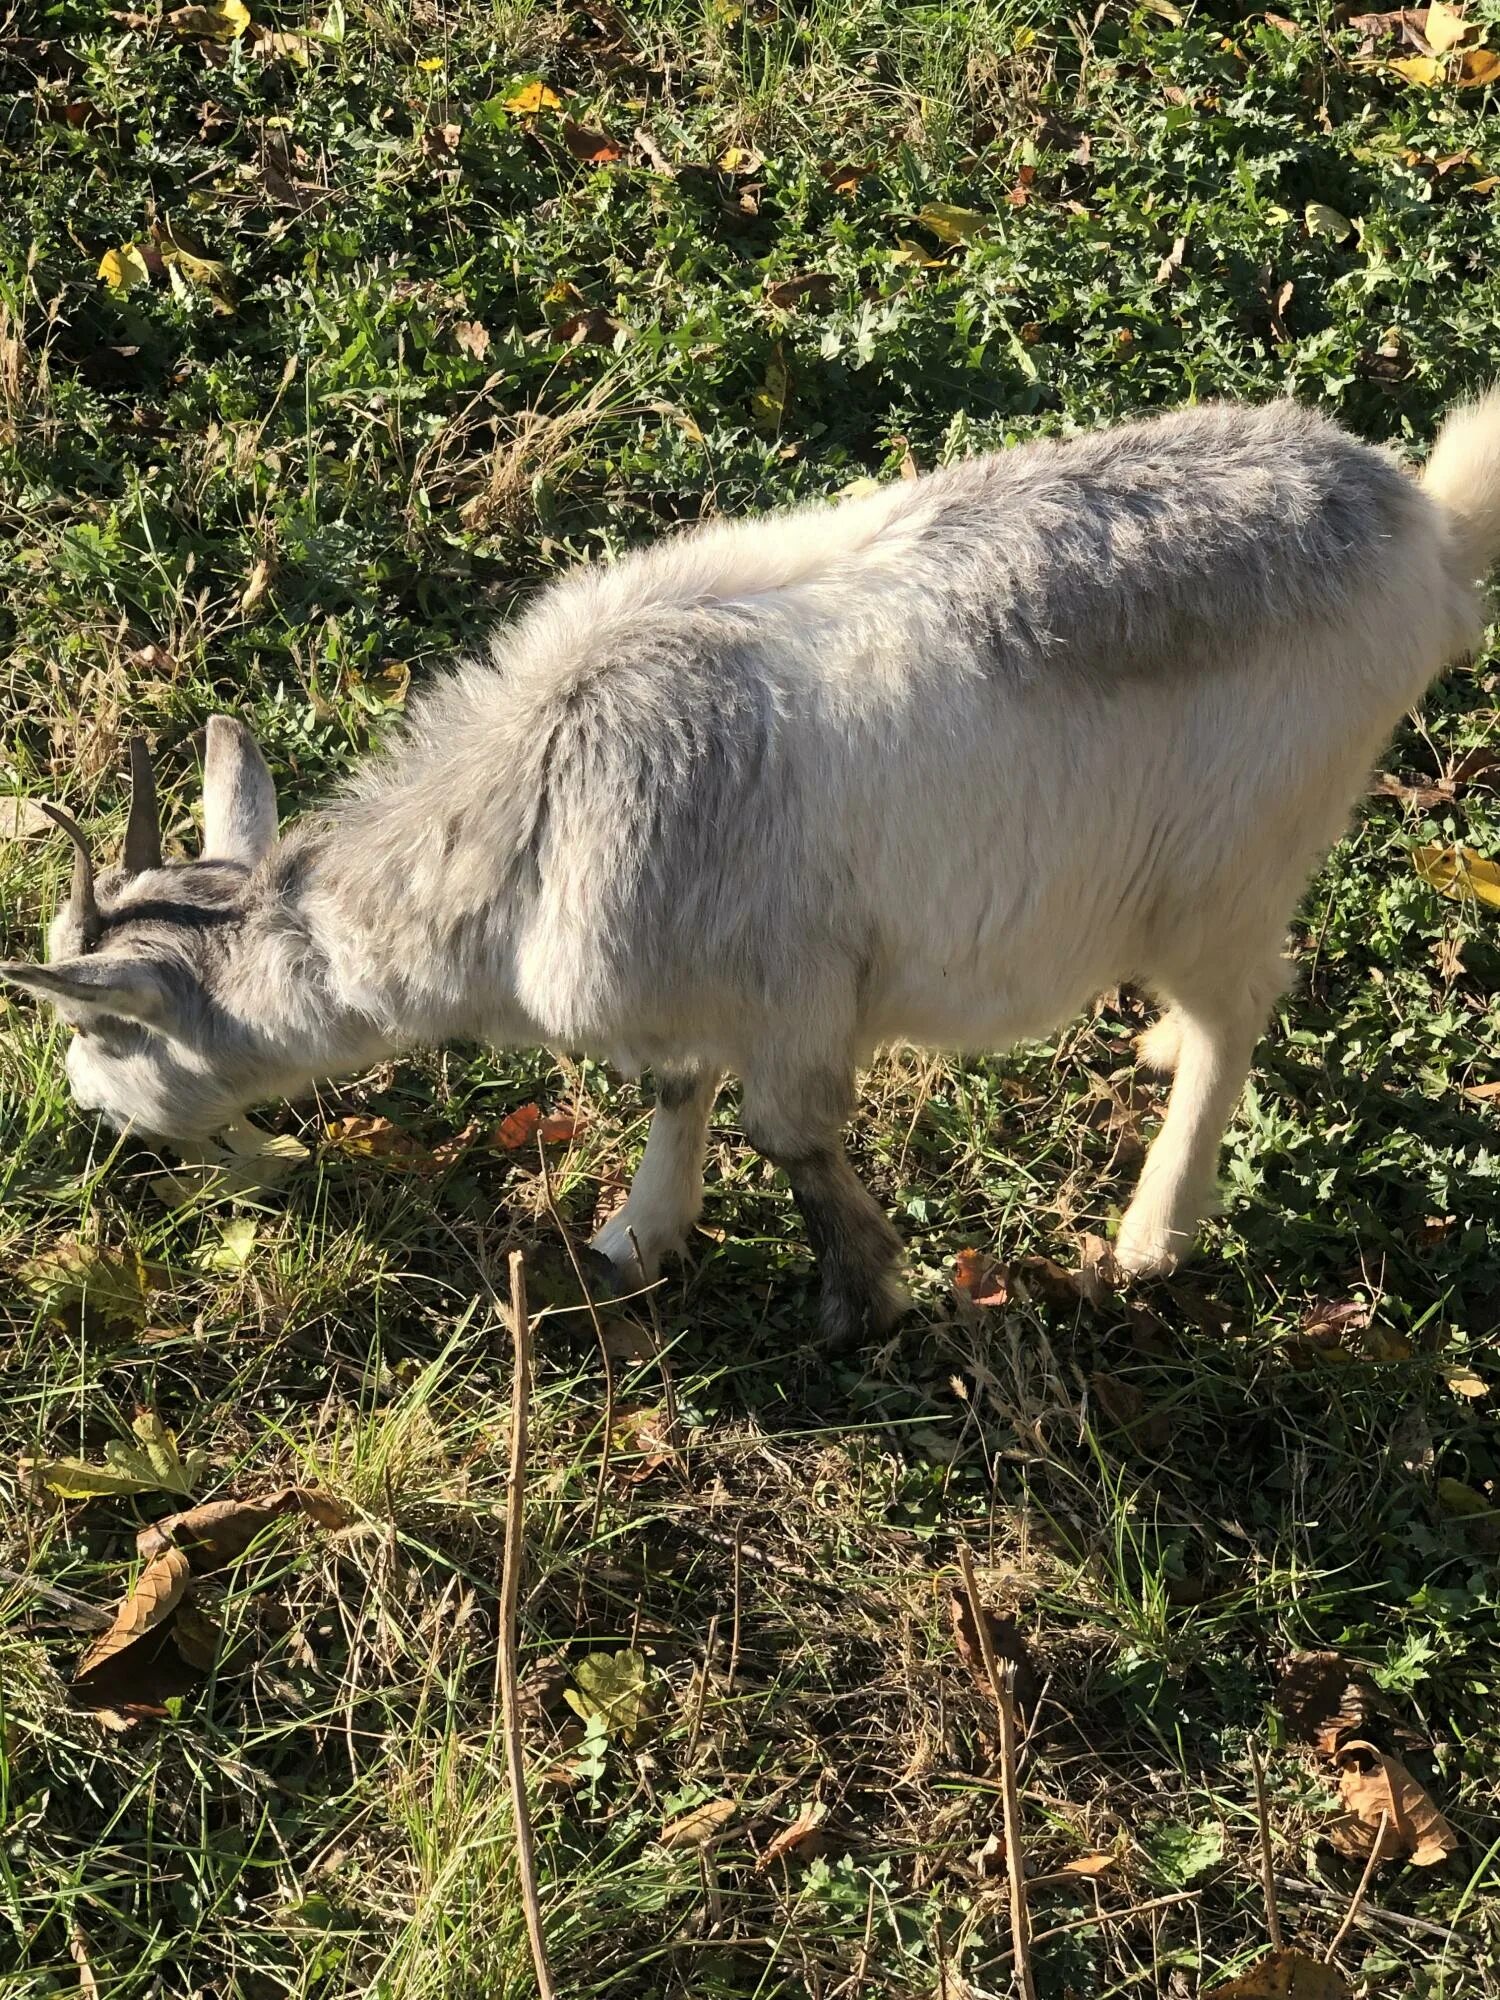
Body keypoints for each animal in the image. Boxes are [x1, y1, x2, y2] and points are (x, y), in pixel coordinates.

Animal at [2, 394, 1500, 1344]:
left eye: (99, 1027)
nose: (86, 1111)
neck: (533, 810)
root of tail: (1424, 529)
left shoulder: (797, 997)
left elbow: (791, 1134)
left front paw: (860, 1303)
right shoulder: (688, 993)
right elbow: (678, 1090)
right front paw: (636, 1237)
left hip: (1227, 858)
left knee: (1243, 1007)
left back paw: (1151, 1233)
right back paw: (1152, 1054)